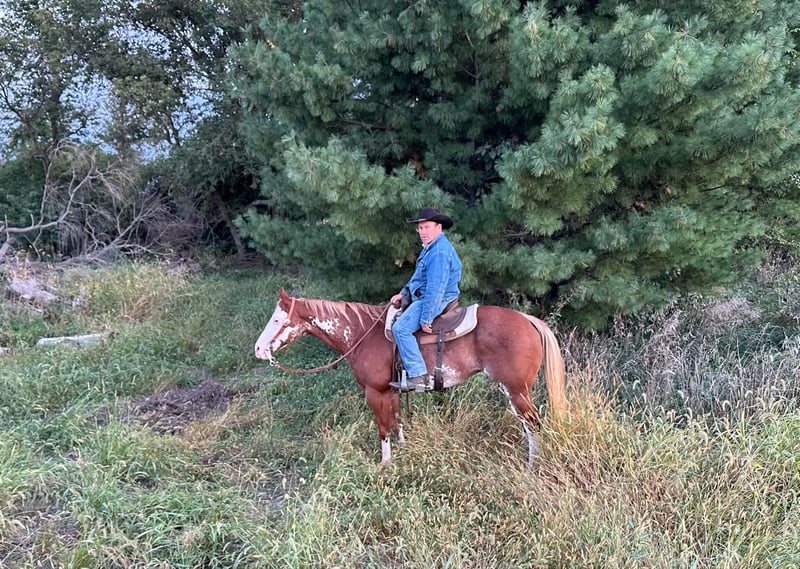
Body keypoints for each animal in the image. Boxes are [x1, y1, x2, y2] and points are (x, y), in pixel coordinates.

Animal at [254, 288, 568, 468]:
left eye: (278, 320)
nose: (258, 349)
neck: (362, 334)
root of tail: (528, 320)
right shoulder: (392, 390)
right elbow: (396, 420)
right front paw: (403, 449)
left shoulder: (374, 392)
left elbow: (382, 427)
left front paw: (385, 463)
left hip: (516, 390)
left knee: (534, 426)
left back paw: (532, 466)